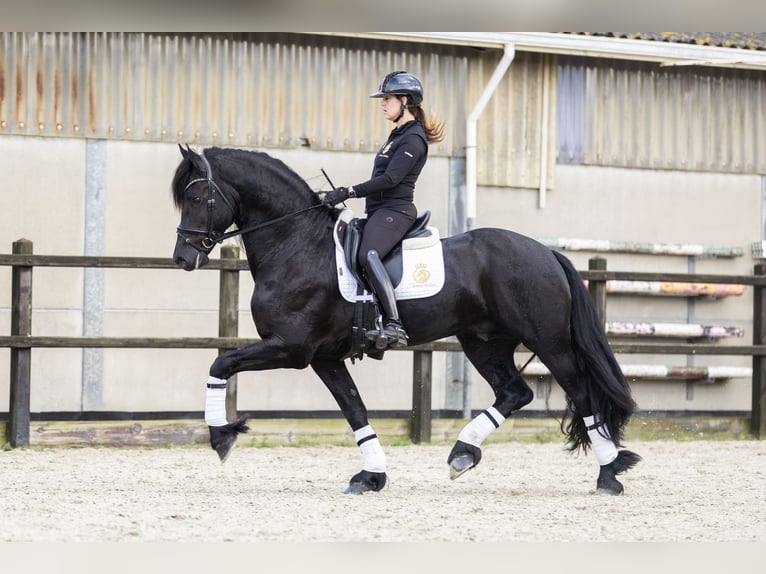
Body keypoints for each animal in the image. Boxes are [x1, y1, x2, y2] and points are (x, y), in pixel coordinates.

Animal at [172, 144, 640, 496]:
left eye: (195, 198)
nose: (182, 258)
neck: (297, 245)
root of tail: (545, 252)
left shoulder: (291, 348)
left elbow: (220, 364)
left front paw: (222, 436)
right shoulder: (324, 357)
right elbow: (355, 410)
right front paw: (371, 476)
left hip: (549, 342)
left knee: (582, 394)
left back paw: (608, 475)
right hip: (483, 342)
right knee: (515, 392)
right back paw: (462, 454)